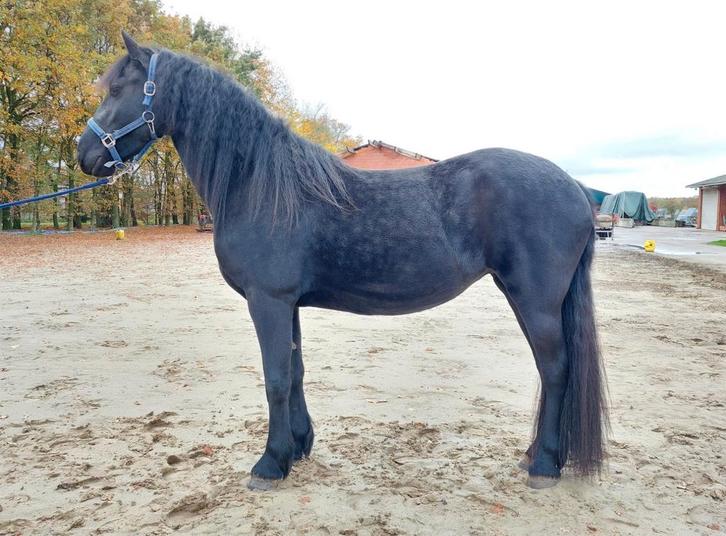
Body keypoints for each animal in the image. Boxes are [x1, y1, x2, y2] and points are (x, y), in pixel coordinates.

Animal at [77, 32, 608, 490]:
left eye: (120, 89)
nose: (84, 155)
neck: (259, 184)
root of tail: (575, 188)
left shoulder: (267, 300)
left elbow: (274, 379)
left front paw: (269, 464)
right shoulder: (286, 303)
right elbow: (294, 372)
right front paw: (297, 447)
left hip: (535, 300)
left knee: (554, 368)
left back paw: (544, 464)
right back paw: (537, 454)